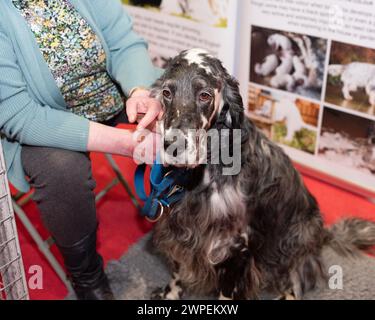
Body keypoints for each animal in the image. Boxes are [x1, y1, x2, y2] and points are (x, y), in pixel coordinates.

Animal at [150, 48, 375, 300]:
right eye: (167, 92)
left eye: (205, 95)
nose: (173, 146)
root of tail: (321, 235)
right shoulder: (179, 230)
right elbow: (177, 270)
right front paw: (170, 294)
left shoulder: (235, 248)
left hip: (294, 242)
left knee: (293, 281)